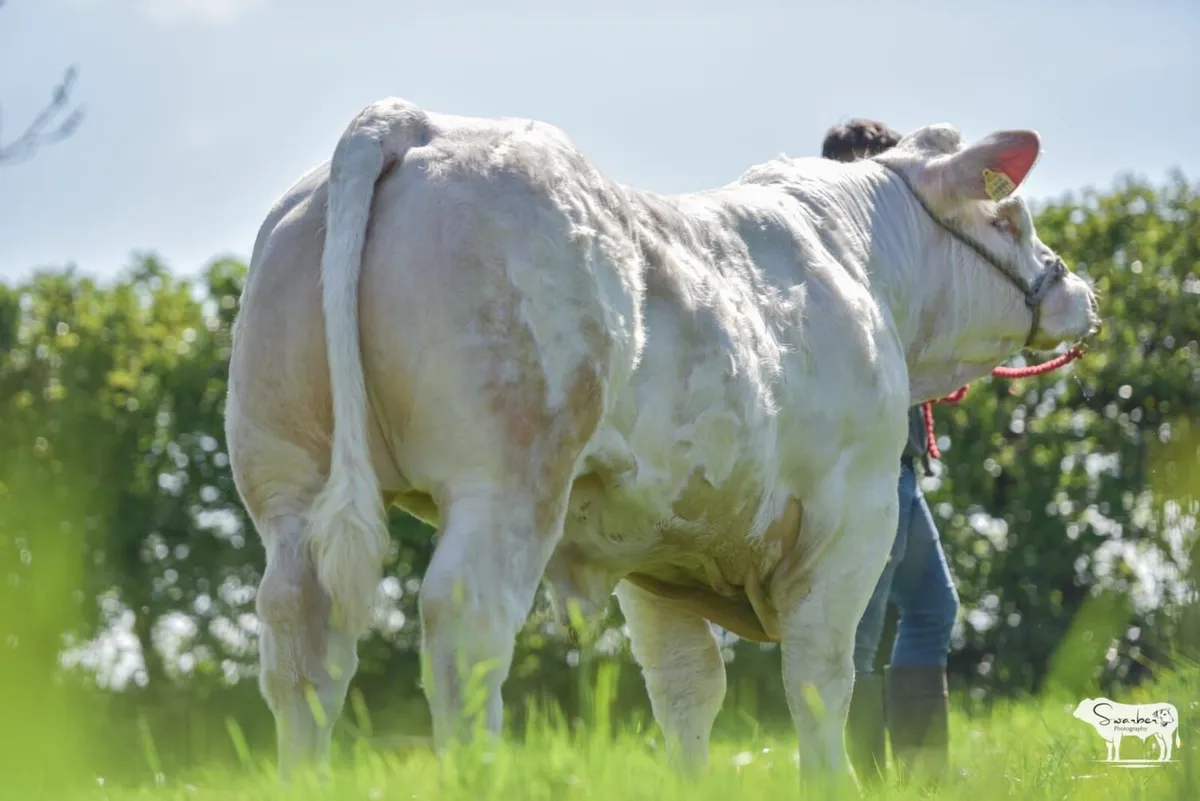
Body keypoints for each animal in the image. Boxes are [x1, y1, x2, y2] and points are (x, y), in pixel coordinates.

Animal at [223, 97, 1099, 788]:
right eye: (1009, 216)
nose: (1078, 291)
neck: (859, 262)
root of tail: (409, 120)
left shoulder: (658, 552)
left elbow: (687, 692)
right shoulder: (852, 520)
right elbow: (823, 679)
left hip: (284, 480)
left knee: (300, 637)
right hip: (506, 479)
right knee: (466, 626)